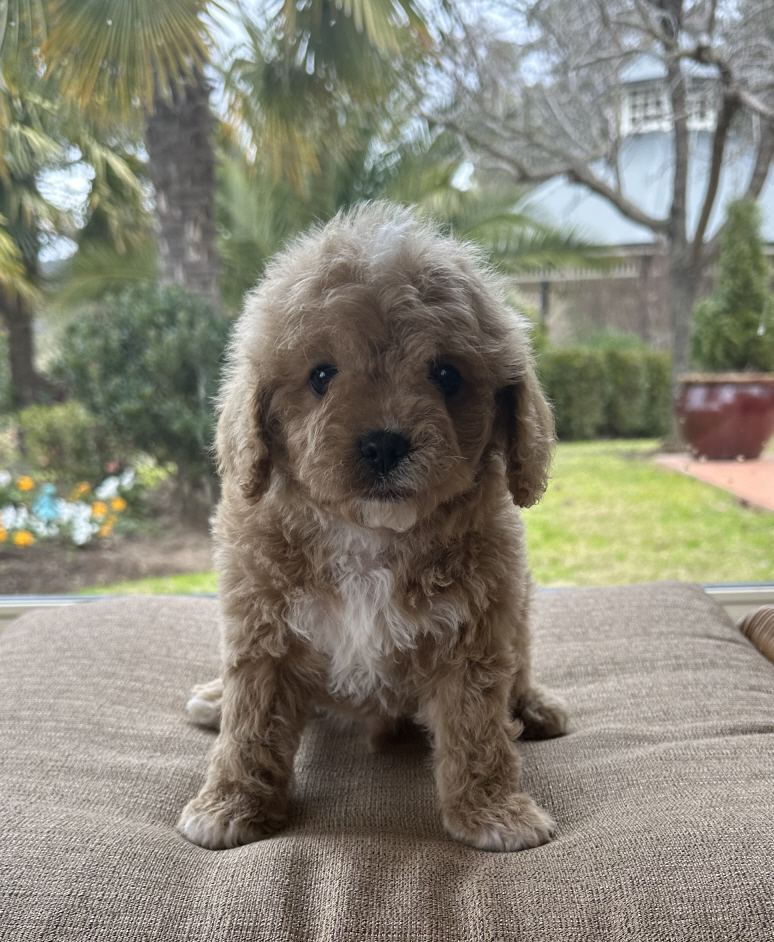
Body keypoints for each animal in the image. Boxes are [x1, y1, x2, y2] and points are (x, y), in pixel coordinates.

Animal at [180, 203, 568, 852]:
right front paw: (230, 804)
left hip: (519, 614)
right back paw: (212, 699)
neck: (369, 537)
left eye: (446, 374)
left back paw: (536, 706)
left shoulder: (478, 633)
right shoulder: (262, 630)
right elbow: (250, 723)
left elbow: (477, 729)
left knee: (521, 666)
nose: (384, 443)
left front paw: (492, 812)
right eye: (320, 375)